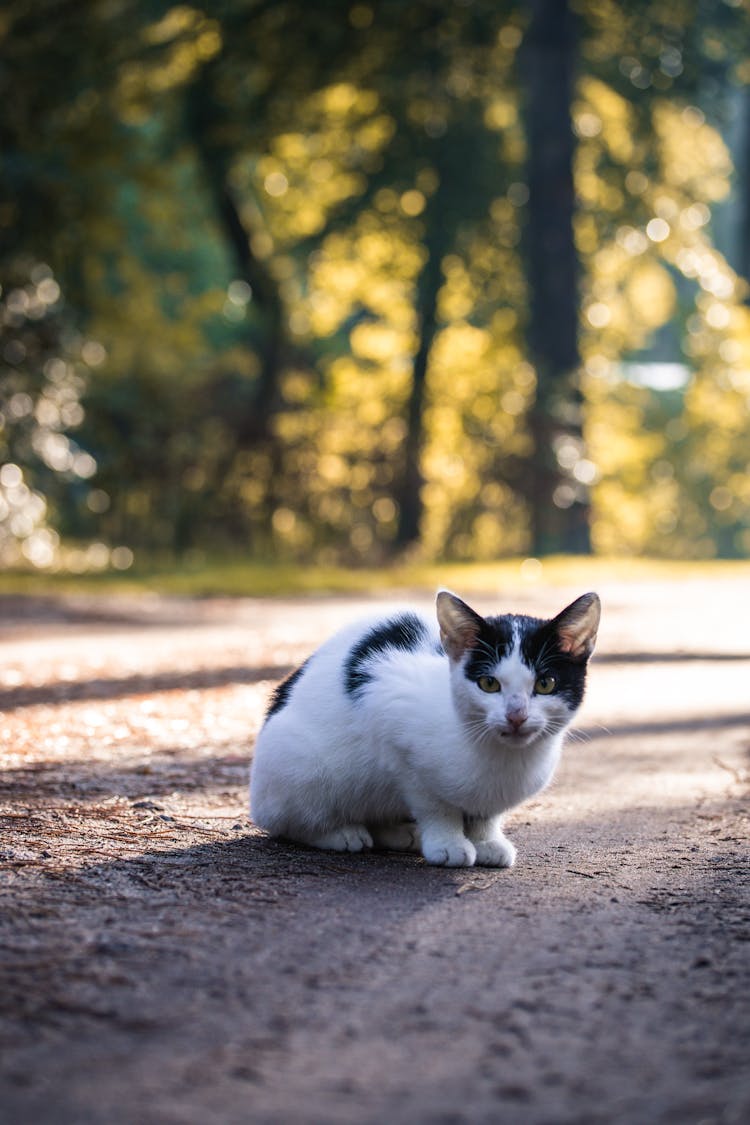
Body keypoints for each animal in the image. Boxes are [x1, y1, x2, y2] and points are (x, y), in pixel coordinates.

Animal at [249, 589, 602, 868]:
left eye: (545, 684)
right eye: (489, 684)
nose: (516, 716)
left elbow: (485, 815)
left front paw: (485, 841)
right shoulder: (394, 723)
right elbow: (434, 804)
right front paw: (449, 843)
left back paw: (398, 832)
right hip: (301, 767)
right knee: (285, 822)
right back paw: (341, 833)